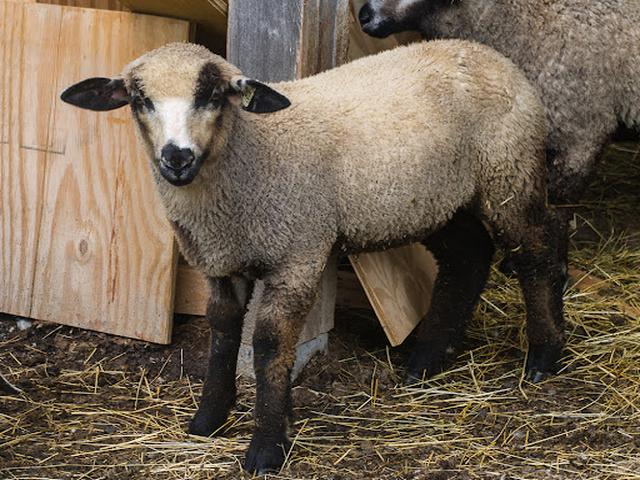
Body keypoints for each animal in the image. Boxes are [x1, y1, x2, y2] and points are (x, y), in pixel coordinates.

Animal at [60, 40, 567, 473]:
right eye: (139, 100)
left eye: (213, 95)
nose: (177, 158)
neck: (252, 152)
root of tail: (489, 53)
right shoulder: (220, 261)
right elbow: (222, 331)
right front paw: (209, 419)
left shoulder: (297, 254)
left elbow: (269, 344)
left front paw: (267, 445)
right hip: (436, 200)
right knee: (469, 256)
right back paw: (427, 359)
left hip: (509, 171)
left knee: (538, 252)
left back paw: (543, 356)